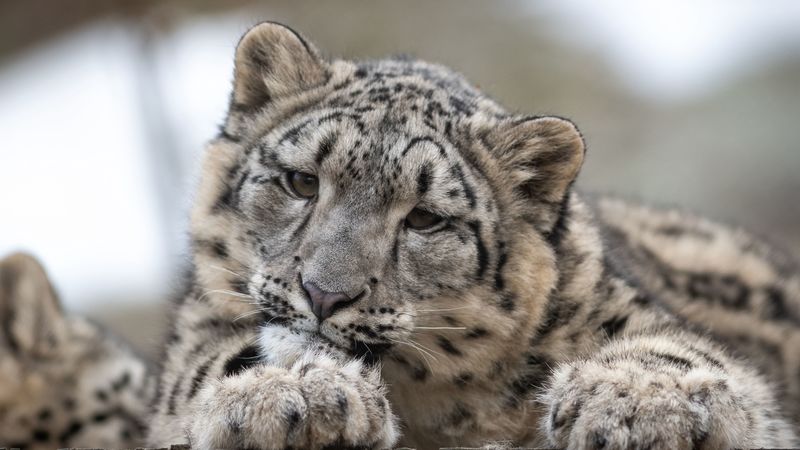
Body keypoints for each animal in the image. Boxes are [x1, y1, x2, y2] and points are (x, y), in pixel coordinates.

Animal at [148, 22, 800, 449]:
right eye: (301, 181)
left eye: (424, 218)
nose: (325, 293)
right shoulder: (196, 334)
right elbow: (210, 366)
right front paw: (296, 396)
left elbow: (692, 354)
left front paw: (638, 399)